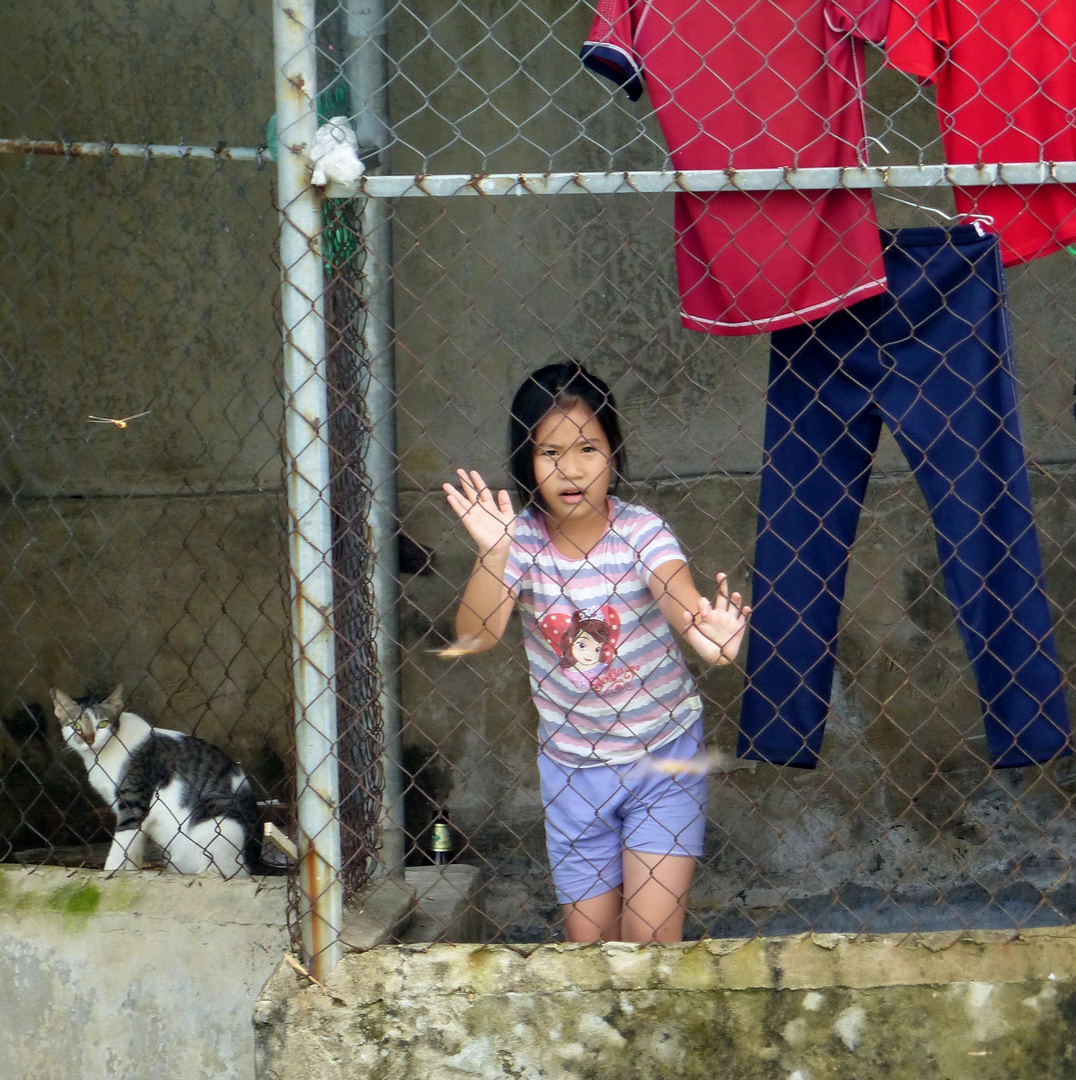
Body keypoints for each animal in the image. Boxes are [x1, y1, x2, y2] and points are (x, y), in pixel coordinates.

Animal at [52, 682, 266, 876]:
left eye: (102, 724)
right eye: (75, 726)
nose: (88, 740)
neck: (100, 756)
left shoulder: (134, 803)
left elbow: (120, 846)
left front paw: (108, 874)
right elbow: (133, 848)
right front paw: (130, 874)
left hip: (217, 818)